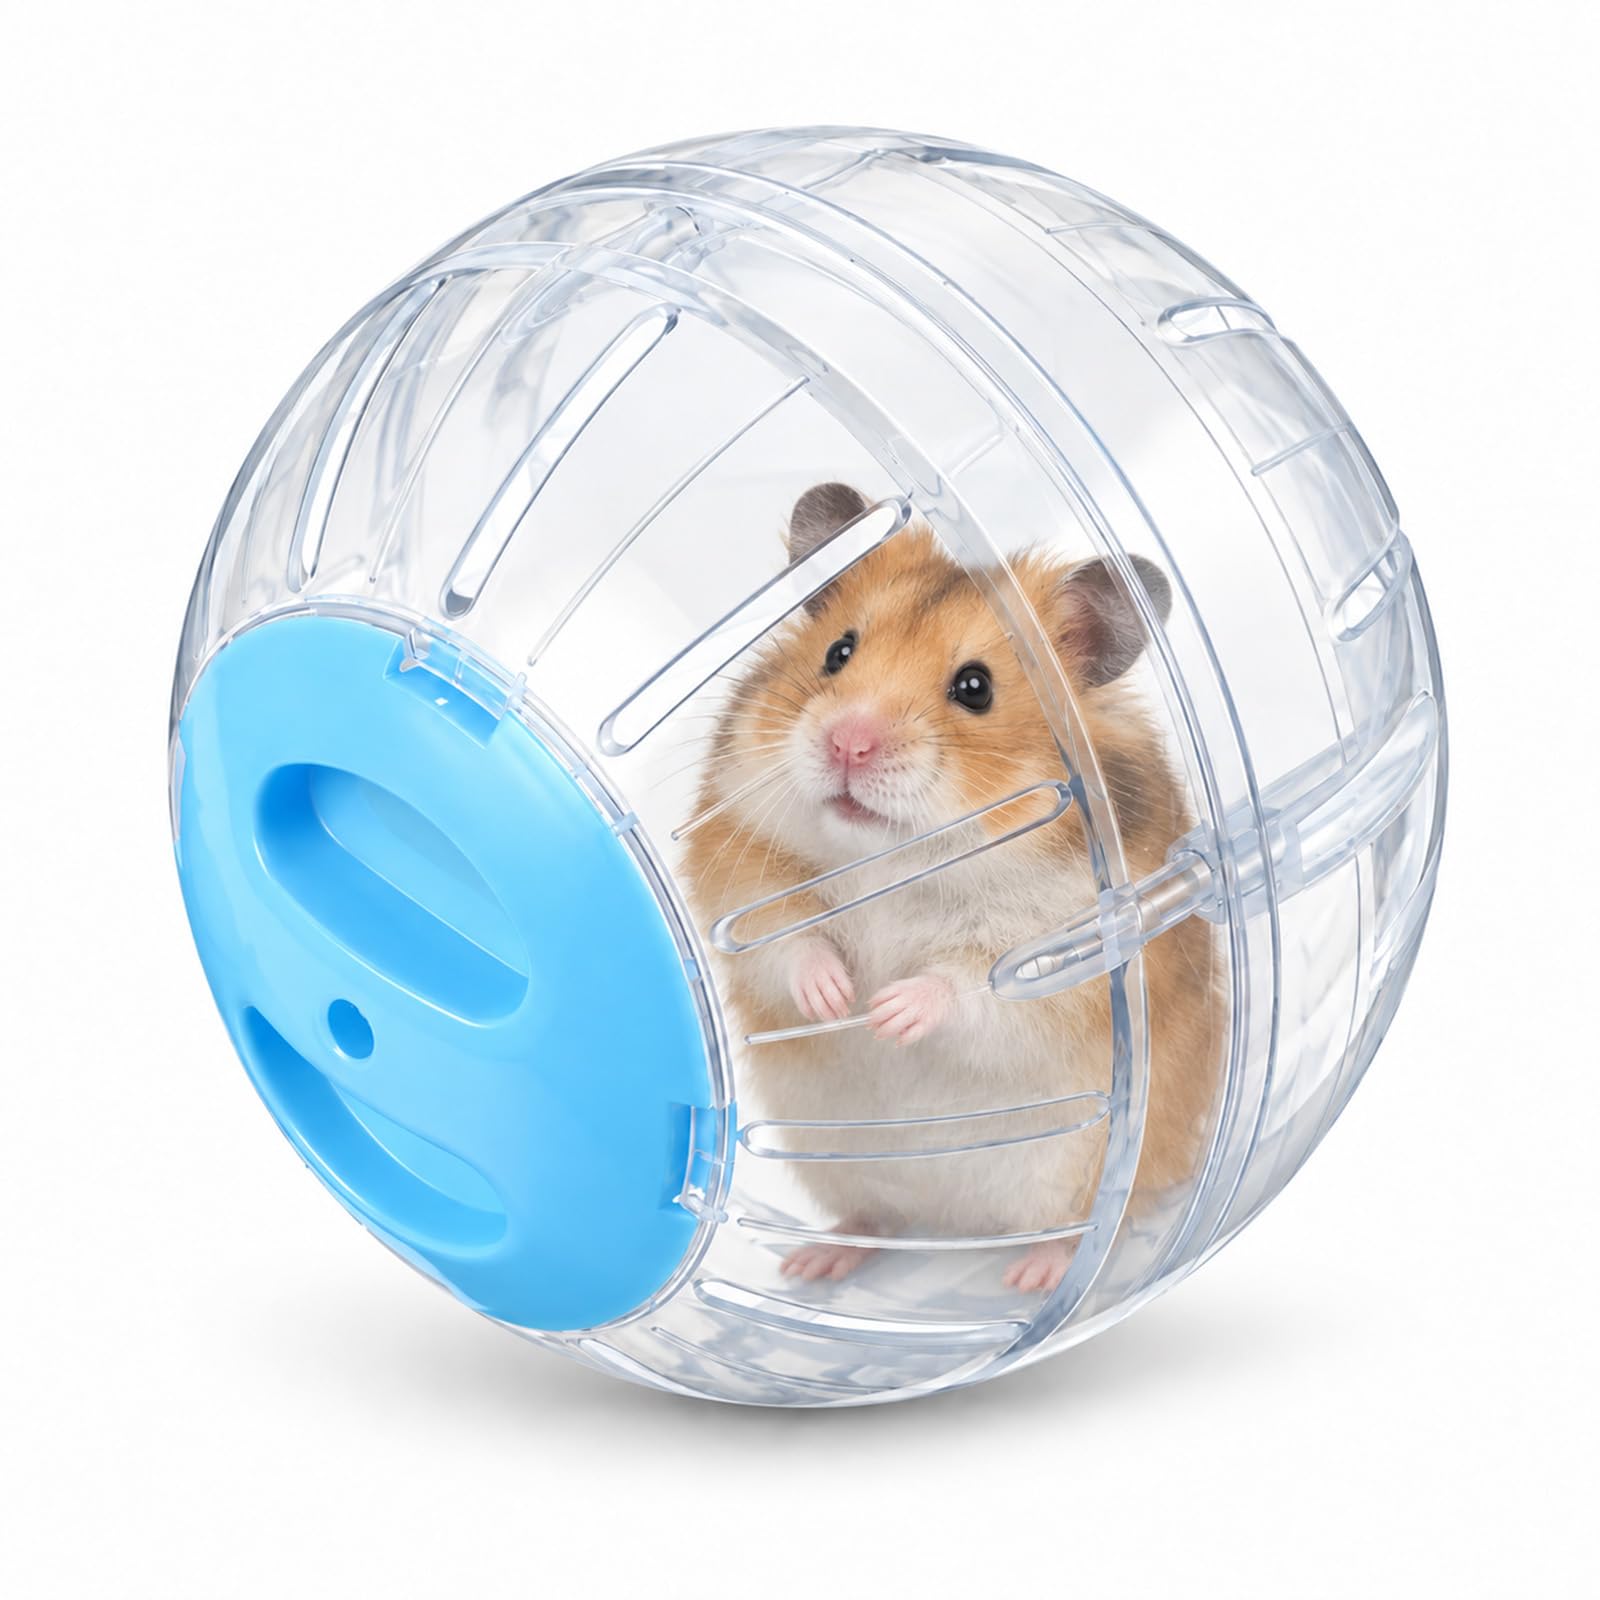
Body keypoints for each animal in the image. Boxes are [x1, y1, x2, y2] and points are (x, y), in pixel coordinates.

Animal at [683, 483, 1221, 1294]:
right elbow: (791, 941)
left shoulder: (1064, 956)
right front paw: (837, 1000)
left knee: (1089, 1228)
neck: (893, 860)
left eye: (975, 688)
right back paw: (812, 1265)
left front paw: (886, 1012)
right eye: (839, 651)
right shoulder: (736, 864)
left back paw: (1034, 1277)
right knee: (876, 1218)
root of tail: (959, 1228)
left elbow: (967, 986)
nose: (847, 743)